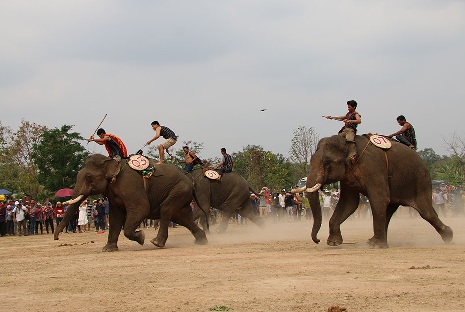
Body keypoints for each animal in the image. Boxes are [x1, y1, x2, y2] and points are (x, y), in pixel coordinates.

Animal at [53, 154, 208, 251]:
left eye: (89, 177)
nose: (56, 238)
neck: (111, 161)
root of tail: (191, 184)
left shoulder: (130, 184)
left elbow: (141, 208)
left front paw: (141, 237)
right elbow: (115, 217)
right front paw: (108, 249)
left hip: (180, 189)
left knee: (166, 210)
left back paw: (156, 243)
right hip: (181, 193)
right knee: (182, 217)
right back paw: (202, 241)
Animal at [294, 134, 454, 249]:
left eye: (327, 162)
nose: (317, 240)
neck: (349, 143)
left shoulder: (373, 167)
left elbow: (378, 198)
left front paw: (377, 246)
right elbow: (349, 203)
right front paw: (333, 243)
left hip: (420, 180)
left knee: (425, 211)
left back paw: (449, 235)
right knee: (389, 209)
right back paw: (374, 240)